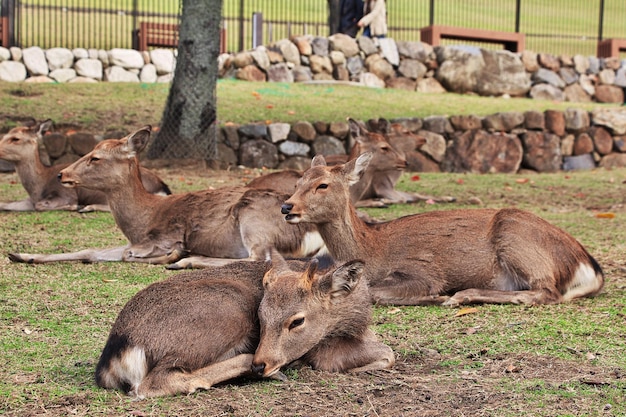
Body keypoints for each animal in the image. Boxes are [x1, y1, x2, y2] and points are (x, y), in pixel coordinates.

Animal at [0, 120, 171, 211]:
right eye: (5, 135)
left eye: (15, 138)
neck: (38, 187)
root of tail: (164, 187)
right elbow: (5, 203)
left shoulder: (66, 194)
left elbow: (40, 206)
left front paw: (74, 207)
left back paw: (86, 207)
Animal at [95, 249, 392, 398]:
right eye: (260, 317)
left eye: (297, 321)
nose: (262, 363)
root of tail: (115, 357)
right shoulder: (321, 349)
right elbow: (389, 354)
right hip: (228, 310)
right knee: (152, 383)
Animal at [280, 153, 604, 306]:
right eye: (297, 182)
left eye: (323, 185)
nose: (287, 207)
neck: (373, 250)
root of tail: (589, 266)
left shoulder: (422, 270)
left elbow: (376, 293)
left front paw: (434, 297)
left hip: (516, 239)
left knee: (545, 292)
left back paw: (462, 295)